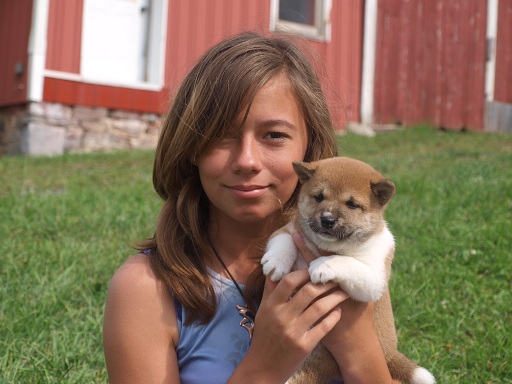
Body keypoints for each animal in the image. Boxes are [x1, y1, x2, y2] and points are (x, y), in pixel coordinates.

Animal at [262, 157, 434, 384]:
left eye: (352, 204)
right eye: (319, 197)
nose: (327, 219)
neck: (328, 246)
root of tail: (390, 354)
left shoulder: (373, 277)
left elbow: (346, 262)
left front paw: (321, 265)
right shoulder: (288, 228)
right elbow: (284, 239)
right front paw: (276, 261)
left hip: (314, 365)